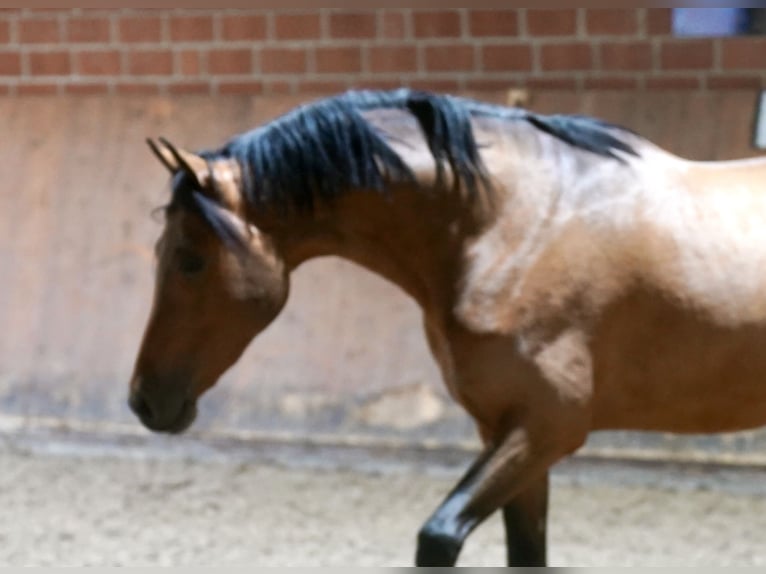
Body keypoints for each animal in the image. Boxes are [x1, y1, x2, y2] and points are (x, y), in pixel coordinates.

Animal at [129, 88, 766, 568]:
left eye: (189, 258)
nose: (143, 401)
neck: (516, 226)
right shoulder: (506, 433)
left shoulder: (548, 428)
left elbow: (437, 537)